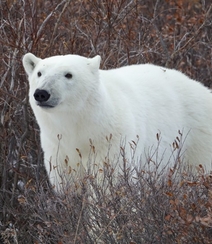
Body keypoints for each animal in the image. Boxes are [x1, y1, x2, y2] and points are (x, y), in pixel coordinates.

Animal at [22, 53, 212, 191]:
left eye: (68, 74)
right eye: (39, 73)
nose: (42, 93)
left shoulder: (112, 140)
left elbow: (110, 183)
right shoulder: (57, 145)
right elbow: (67, 181)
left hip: (196, 137)